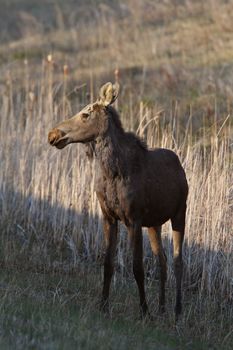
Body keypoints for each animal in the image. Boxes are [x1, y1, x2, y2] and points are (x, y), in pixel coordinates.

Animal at [48, 82, 188, 320]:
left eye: (85, 114)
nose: (53, 134)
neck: (112, 172)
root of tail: (181, 168)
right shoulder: (109, 217)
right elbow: (107, 263)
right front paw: (103, 304)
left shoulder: (134, 219)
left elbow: (137, 267)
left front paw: (144, 311)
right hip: (155, 224)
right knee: (163, 261)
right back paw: (162, 307)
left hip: (180, 213)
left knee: (178, 261)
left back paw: (177, 311)